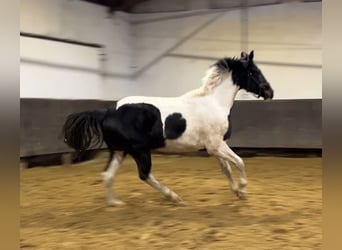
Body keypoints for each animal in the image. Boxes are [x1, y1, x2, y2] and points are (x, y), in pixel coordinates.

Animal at [62, 50, 274, 205]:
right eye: (254, 72)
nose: (270, 92)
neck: (213, 102)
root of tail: (108, 111)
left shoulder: (217, 146)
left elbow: (227, 169)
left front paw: (237, 192)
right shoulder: (215, 146)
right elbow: (239, 162)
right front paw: (243, 190)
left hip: (119, 151)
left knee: (107, 175)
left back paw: (115, 203)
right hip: (139, 150)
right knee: (144, 174)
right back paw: (173, 196)